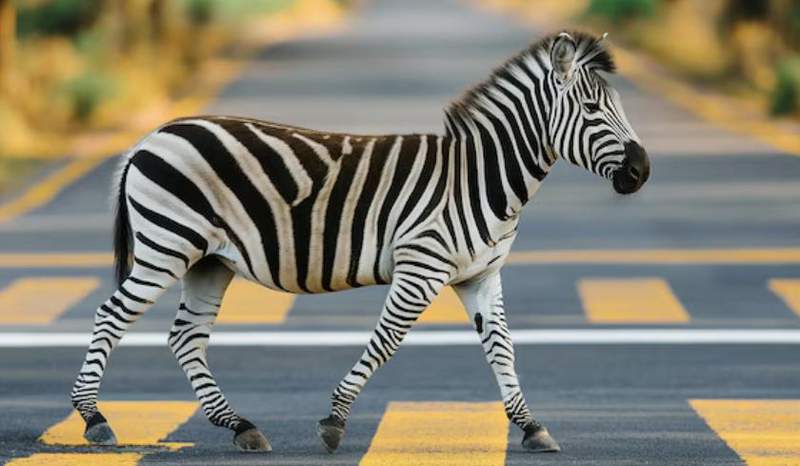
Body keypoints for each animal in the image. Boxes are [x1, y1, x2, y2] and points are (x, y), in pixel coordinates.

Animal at [70, 30, 649, 454]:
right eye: (592, 110)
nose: (642, 172)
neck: (479, 179)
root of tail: (152, 136)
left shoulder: (481, 276)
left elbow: (501, 349)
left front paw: (531, 427)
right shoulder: (422, 266)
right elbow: (386, 341)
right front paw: (334, 421)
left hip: (208, 261)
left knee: (186, 337)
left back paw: (240, 426)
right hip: (168, 245)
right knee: (111, 316)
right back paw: (96, 420)